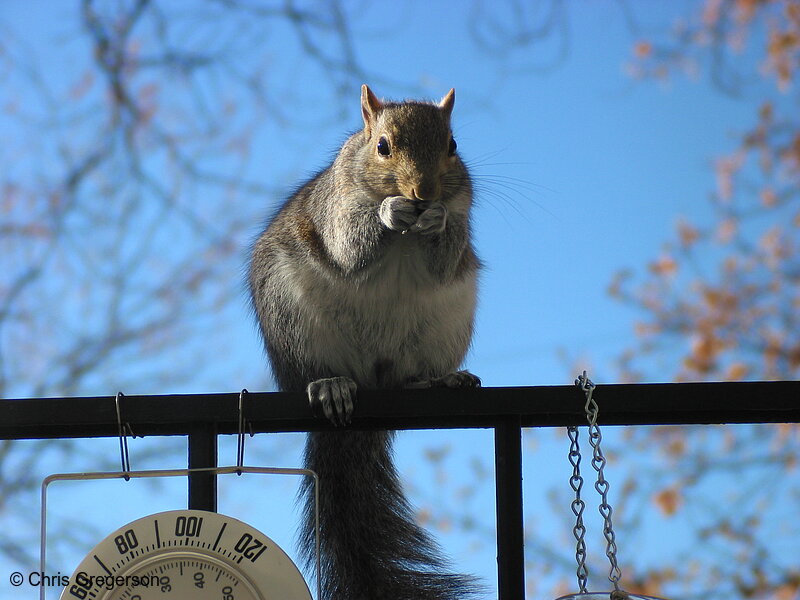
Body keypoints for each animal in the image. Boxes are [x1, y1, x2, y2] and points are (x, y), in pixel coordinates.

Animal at [248, 84, 482, 600]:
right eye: (382, 146)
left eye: (453, 146)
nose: (423, 194)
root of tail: (370, 383)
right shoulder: (336, 208)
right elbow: (350, 245)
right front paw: (389, 212)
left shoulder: (461, 221)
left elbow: (447, 253)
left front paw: (437, 218)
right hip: (293, 323)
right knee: (315, 373)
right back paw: (330, 385)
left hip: (447, 326)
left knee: (408, 377)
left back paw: (439, 381)